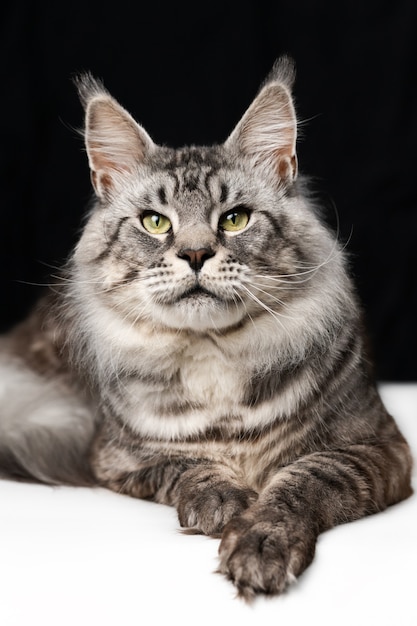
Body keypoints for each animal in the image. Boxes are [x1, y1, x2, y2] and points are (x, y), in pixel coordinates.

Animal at [0, 56, 412, 596]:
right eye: (155, 222)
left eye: (235, 219)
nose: (195, 254)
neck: (214, 352)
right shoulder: (117, 455)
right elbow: (187, 465)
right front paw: (223, 501)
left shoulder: (377, 446)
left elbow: (306, 479)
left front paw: (260, 542)